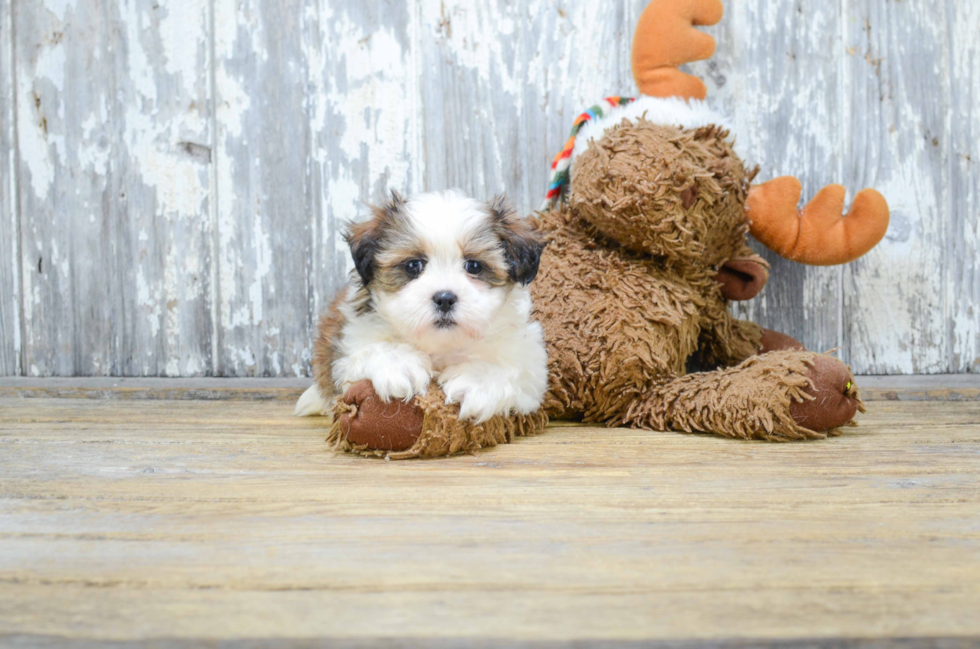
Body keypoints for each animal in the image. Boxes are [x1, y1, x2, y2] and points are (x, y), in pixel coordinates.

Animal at [290, 189, 552, 420]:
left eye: (474, 266)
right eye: (413, 266)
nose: (445, 298)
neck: (440, 346)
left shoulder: (528, 360)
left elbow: (513, 369)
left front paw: (479, 380)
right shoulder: (351, 339)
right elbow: (370, 350)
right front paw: (398, 364)